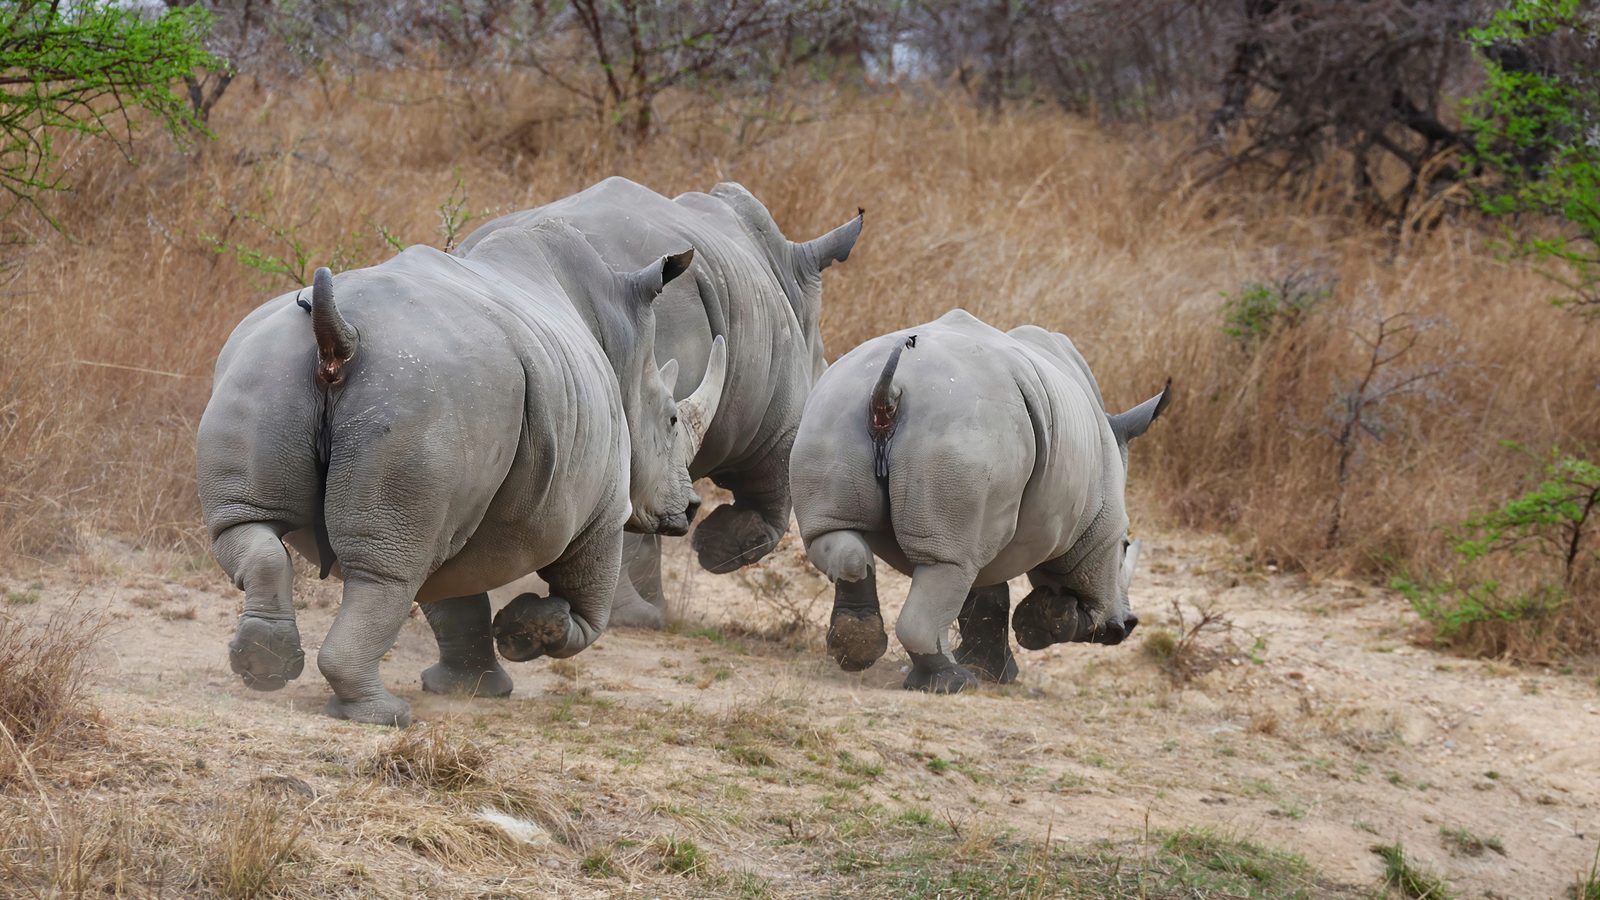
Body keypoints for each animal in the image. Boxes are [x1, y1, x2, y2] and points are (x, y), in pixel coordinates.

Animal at [196, 220, 726, 726]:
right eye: (672, 420)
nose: (691, 508)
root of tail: (338, 334)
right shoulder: (605, 508)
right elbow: (588, 612)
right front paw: (526, 633)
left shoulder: (461, 504)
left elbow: (453, 598)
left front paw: (471, 688)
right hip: (427, 396)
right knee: (388, 573)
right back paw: (383, 716)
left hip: (272, 367)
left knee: (252, 526)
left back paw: (263, 666)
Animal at [458, 178, 862, 627]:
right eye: (822, 367)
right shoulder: (779, 423)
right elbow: (772, 499)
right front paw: (715, 550)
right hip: (668, 313)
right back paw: (640, 617)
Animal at [789, 309, 1171, 692]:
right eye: (1125, 545)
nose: (1125, 626)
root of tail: (888, 392)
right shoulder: (1088, 531)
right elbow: (1062, 591)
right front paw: (1044, 622)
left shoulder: (987, 523)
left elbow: (986, 595)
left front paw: (996, 671)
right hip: (967, 430)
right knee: (947, 565)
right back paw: (952, 681)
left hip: (834, 409)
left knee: (839, 538)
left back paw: (857, 650)